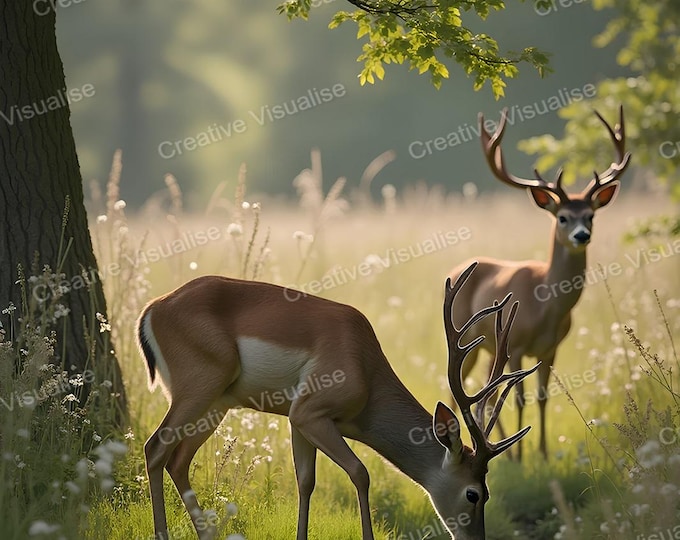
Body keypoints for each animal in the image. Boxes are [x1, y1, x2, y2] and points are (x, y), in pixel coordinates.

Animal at [137, 262, 538, 540]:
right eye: (474, 494)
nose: (476, 539)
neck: (364, 366)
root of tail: (151, 309)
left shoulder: (297, 420)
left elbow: (305, 481)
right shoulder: (310, 413)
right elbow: (360, 473)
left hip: (217, 403)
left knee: (178, 459)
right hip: (198, 390)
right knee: (155, 447)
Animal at [449, 106, 631, 460]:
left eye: (591, 215)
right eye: (562, 217)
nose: (581, 235)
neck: (546, 305)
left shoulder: (551, 349)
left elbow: (544, 397)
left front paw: (543, 454)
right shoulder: (518, 345)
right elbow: (519, 398)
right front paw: (522, 458)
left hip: (491, 348)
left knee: (485, 392)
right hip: (471, 339)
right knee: (462, 391)